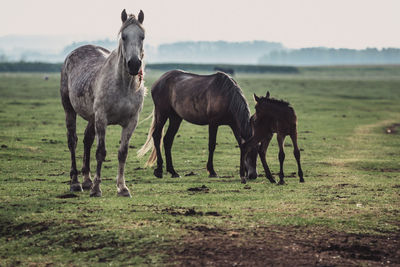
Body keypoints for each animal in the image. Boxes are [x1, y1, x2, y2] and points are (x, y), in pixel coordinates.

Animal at [60, 9, 146, 198]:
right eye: (123, 36)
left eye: (142, 36)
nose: (134, 64)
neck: (123, 86)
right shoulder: (102, 119)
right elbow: (100, 152)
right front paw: (96, 189)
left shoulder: (131, 122)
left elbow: (122, 153)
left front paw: (122, 188)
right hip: (70, 110)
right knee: (73, 141)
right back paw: (75, 183)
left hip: (91, 117)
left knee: (87, 140)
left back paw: (86, 180)